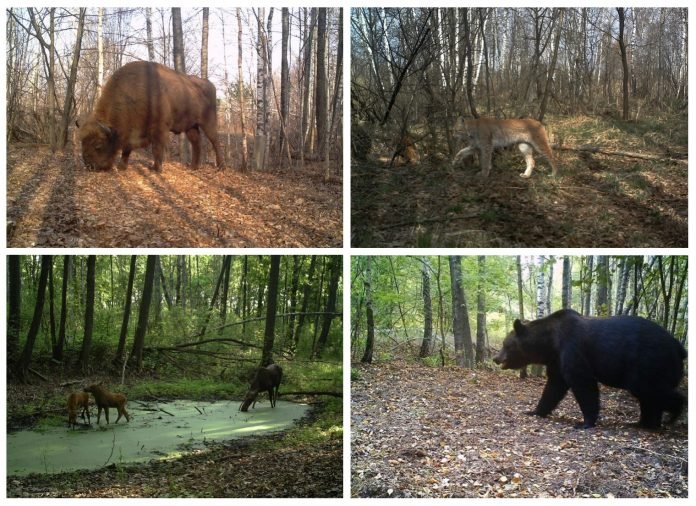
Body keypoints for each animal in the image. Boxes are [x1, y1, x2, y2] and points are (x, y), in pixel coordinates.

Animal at [77, 60, 223, 171]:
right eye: (82, 142)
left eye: (98, 145)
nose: (89, 166)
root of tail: (210, 84)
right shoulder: (132, 131)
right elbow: (127, 148)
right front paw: (122, 166)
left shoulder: (159, 128)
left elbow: (156, 148)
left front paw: (156, 168)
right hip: (191, 126)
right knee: (196, 142)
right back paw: (194, 167)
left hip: (208, 123)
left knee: (215, 141)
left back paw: (220, 166)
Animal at [492, 306, 688, 428]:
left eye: (505, 344)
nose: (495, 358)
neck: (550, 343)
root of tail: (680, 348)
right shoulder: (557, 360)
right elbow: (554, 387)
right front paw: (534, 411)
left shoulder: (572, 348)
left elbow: (583, 383)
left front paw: (584, 422)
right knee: (649, 396)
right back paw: (645, 422)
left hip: (649, 361)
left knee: (649, 390)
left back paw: (673, 413)